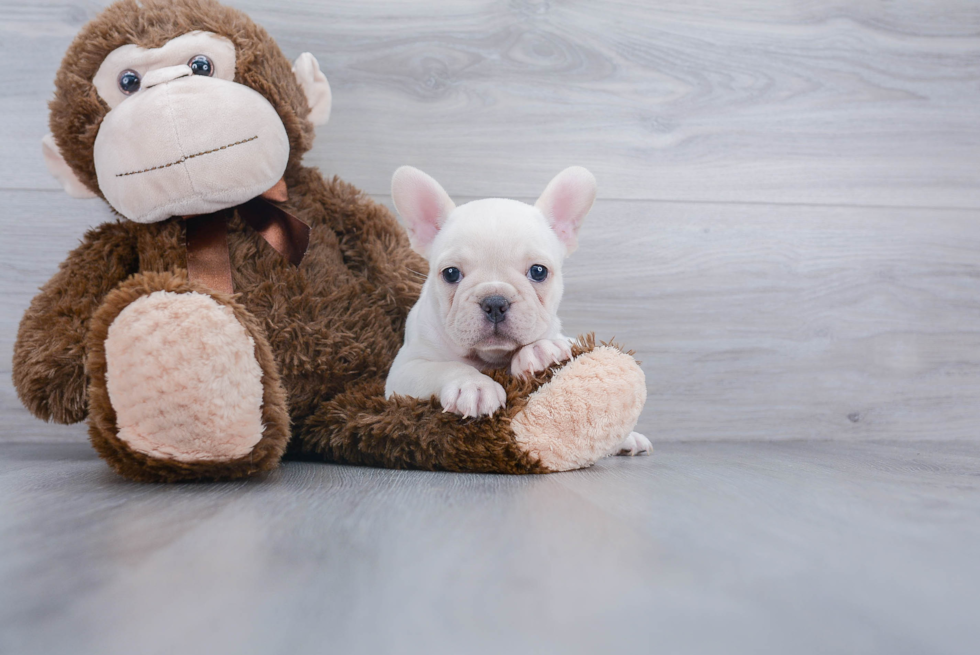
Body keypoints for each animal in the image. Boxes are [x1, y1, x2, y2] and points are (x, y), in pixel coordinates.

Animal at [384, 167, 652, 458]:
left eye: (538, 271)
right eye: (451, 273)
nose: (495, 302)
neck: (491, 357)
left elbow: (557, 340)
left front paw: (541, 350)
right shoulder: (404, 370)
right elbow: (443, 367)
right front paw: (474, 385)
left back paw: (631, 439)